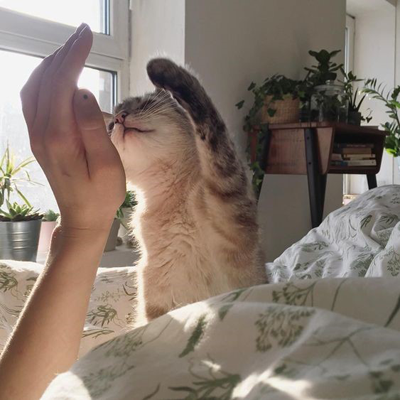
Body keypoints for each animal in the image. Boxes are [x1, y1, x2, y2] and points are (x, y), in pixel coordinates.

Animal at [109, 58, 267, 326]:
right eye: (110, 126)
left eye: (143, 104)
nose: (119, 118)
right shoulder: (159, 305)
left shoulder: (229, 198)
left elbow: (206, 116)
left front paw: (158, 67)